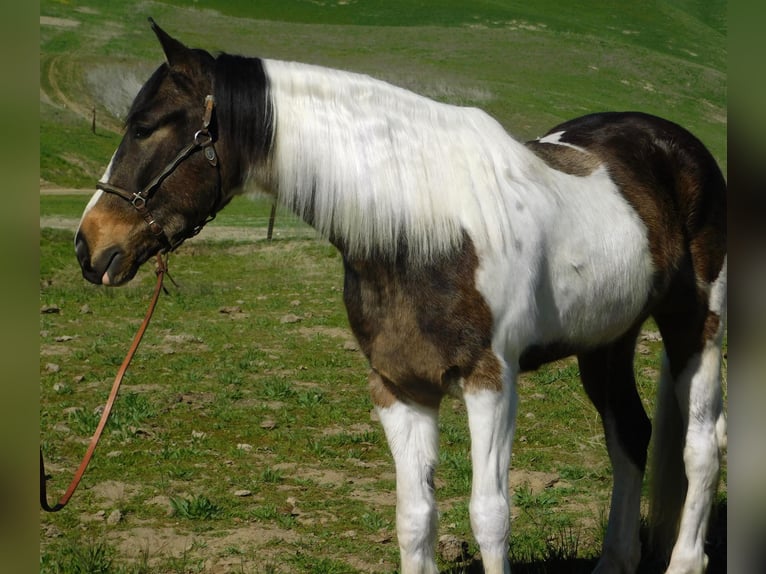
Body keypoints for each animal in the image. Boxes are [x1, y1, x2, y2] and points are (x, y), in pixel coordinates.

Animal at [75, 20, 728, 574]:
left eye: (147, 126)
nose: (89, 246)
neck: (423, 228)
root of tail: (674, 144)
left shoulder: (491, 382)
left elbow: (490, 515)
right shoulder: (399, 388)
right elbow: (415, 518)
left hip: (695, 326)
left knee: (700, 448)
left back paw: (684, 560)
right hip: (607, 341)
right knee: (630, 437)